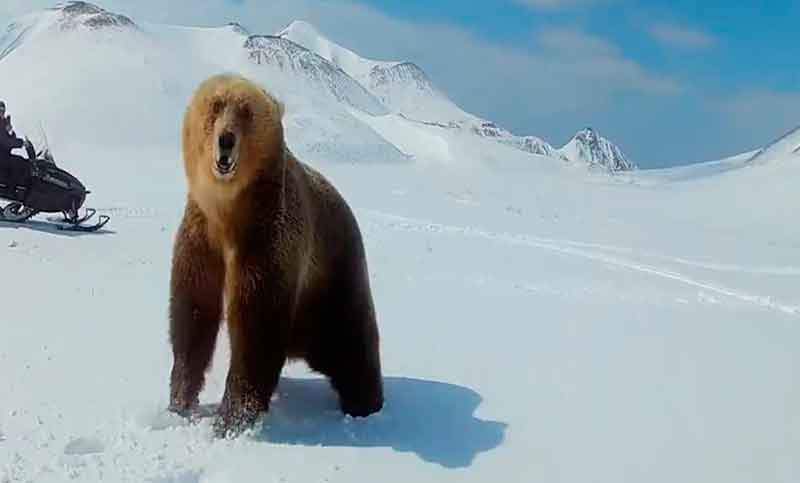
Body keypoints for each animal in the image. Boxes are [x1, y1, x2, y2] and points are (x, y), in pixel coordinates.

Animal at [167, 73, 384, 437]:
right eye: (216, 105)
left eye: (247, 112)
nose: (226, 140)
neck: (229, 214)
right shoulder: (200, 239)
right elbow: (193, 316)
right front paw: (180, 402)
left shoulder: (269, 241)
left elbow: (255, 327)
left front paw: (231, 420)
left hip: (335, 271)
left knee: (353, 340)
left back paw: (366, 404)